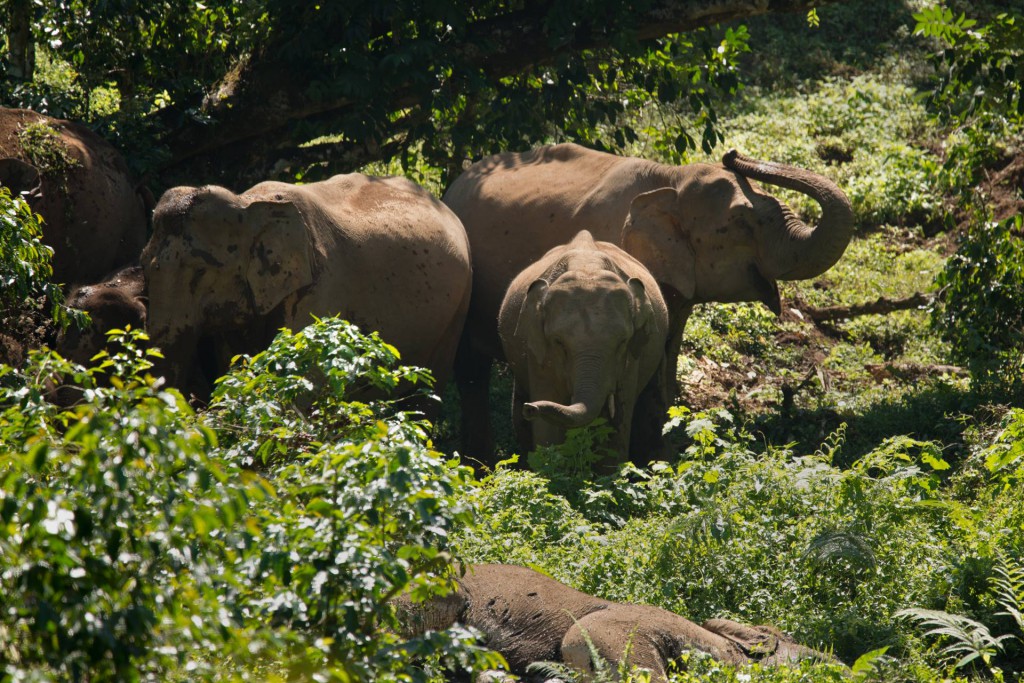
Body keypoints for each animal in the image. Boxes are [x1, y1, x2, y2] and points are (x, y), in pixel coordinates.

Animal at [497, 229, 671, 471]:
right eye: (559, 342)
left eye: (622, 342)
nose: (530, 408)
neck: (587, 267)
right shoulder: (538, 352)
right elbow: (547, 428)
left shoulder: (631, 358)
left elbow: (617, 425)